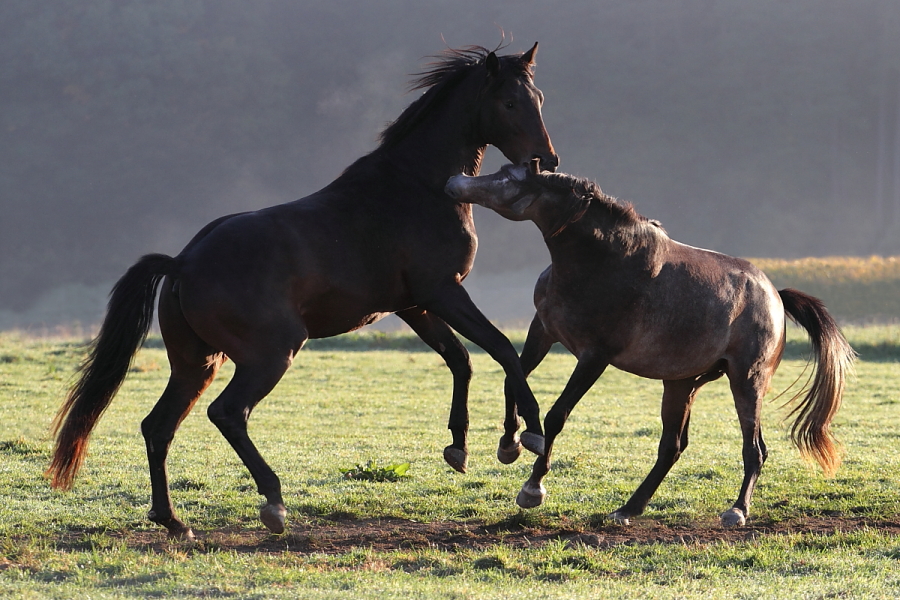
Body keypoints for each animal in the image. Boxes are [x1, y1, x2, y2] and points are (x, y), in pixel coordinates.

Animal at [49, 43, 560, 540]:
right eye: (509, 102)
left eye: (539, 98)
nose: (547, 161)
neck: (418, 186)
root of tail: (184, 262)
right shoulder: (442, 293)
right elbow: (502, 350)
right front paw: (523, 437)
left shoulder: (414, 305)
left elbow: (462, 359)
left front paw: (463, 446)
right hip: (270, 354)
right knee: (227, 413)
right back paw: (273, 503)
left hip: (197, 363)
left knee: (158, 427)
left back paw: (173, 520)